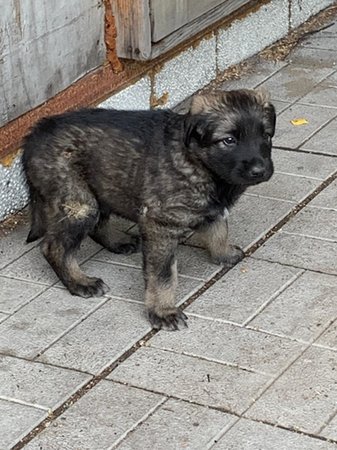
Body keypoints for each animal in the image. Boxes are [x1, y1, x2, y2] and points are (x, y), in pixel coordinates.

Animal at [23, 89, 276, 330]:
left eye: (266, 135)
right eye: (229, 140)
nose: (260, 171)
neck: (195, 160)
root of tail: (34, 134)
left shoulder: (212, 207)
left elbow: (219, 229)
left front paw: (224, 254)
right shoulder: (160, 225)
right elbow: (162, 276)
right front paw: (163, 312)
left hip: (101, 186)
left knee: (98, 222)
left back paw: (118, 242)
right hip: (78, 201)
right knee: (53, 247)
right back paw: (79, 282)